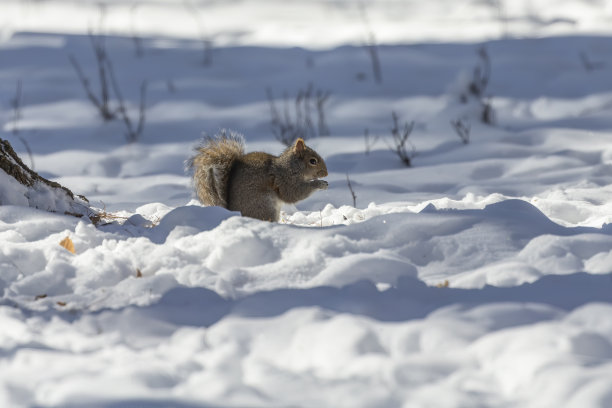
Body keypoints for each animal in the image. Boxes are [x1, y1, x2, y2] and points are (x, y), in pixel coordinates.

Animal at [188, 131, 328, 222]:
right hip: (264, 206)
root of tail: (232, 211)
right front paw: (320, 184)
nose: (326, 173)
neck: (292, 166)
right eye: (313, 161)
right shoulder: (284, 180)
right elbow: (293, 194)